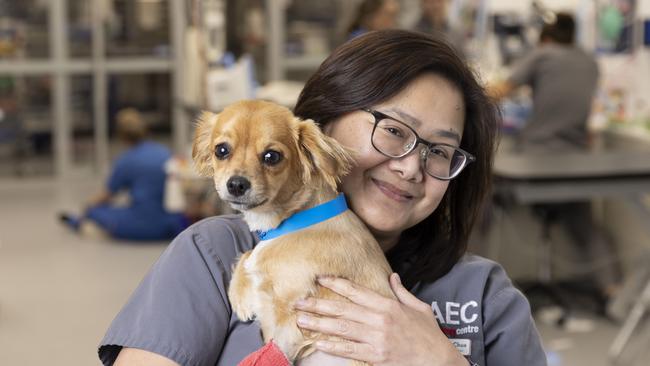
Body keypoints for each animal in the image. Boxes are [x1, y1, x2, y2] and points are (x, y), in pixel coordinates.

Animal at [190, 99, 388, 364]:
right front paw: (240, 295)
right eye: (221, 150)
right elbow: (247, 255)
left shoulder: (292, 315)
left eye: (272, 156)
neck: (295, 221)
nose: (236, 184)